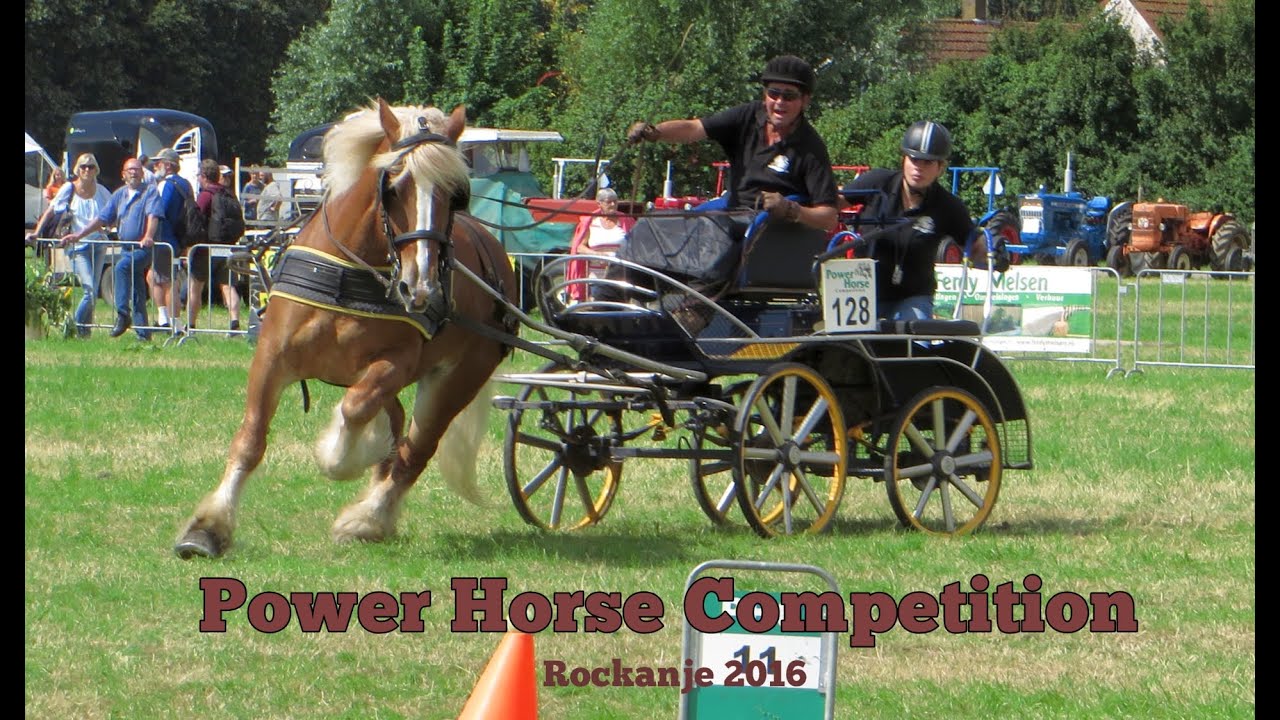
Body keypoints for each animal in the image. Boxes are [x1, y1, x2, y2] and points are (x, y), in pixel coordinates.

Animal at [175, 98, 519, 559]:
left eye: (455, 195)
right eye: (393, 185)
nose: (422, 288)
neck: (351, 272)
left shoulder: (396, 364)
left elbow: (354, 413)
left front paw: (343, 454)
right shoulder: (272, 358)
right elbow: (250, 440)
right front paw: (207, 528)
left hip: (458, 378)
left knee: (415, 449)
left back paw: (369, 517)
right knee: (398, 428)